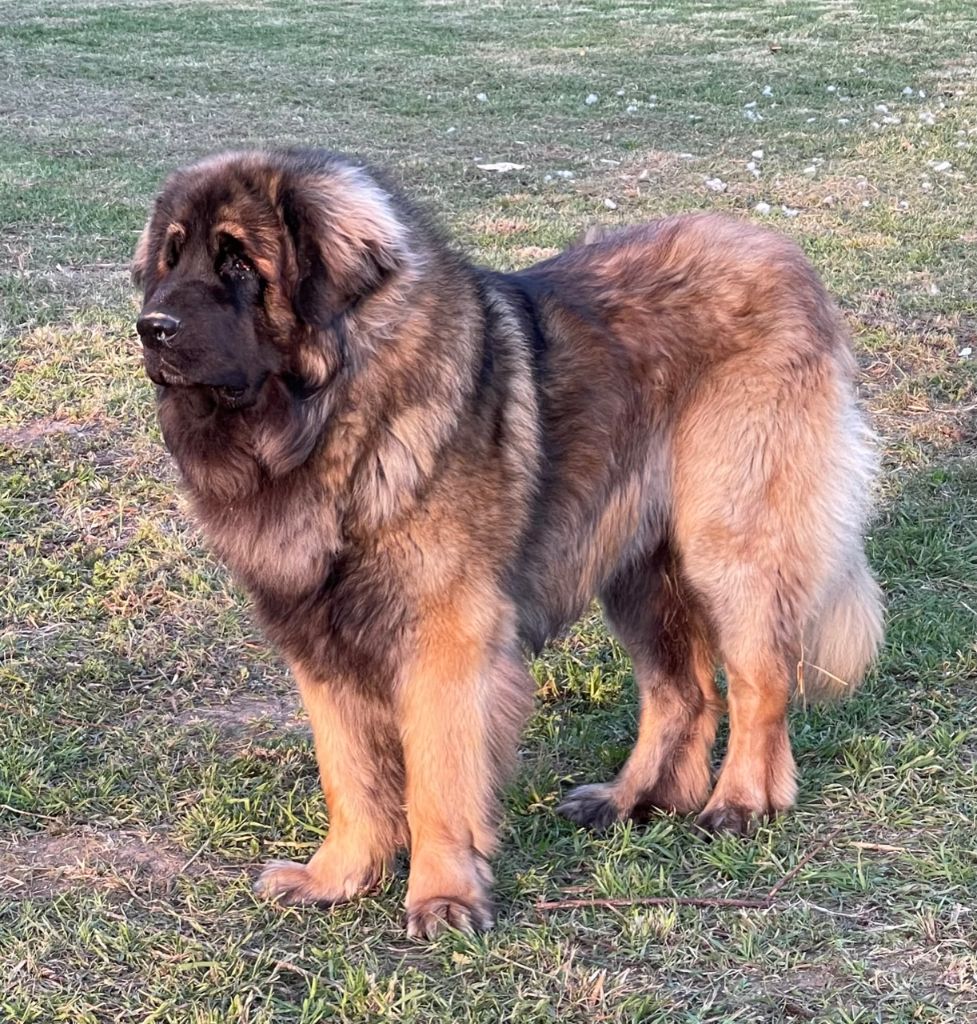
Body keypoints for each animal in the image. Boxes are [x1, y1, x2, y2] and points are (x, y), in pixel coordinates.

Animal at [131, 148, 884, 937]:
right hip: (638, 567)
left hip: (729, 540)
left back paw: (741, 803)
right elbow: (350, 774)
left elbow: (437, 778)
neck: (329, 421)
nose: (150, 328)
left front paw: (442, 897)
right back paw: (634, 799)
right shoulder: (319, 639)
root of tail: (784, 256)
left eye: (239, 263)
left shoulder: (447, 639)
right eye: (169, 259)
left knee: (758, 681)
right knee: (682, 692)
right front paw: (337, 877)